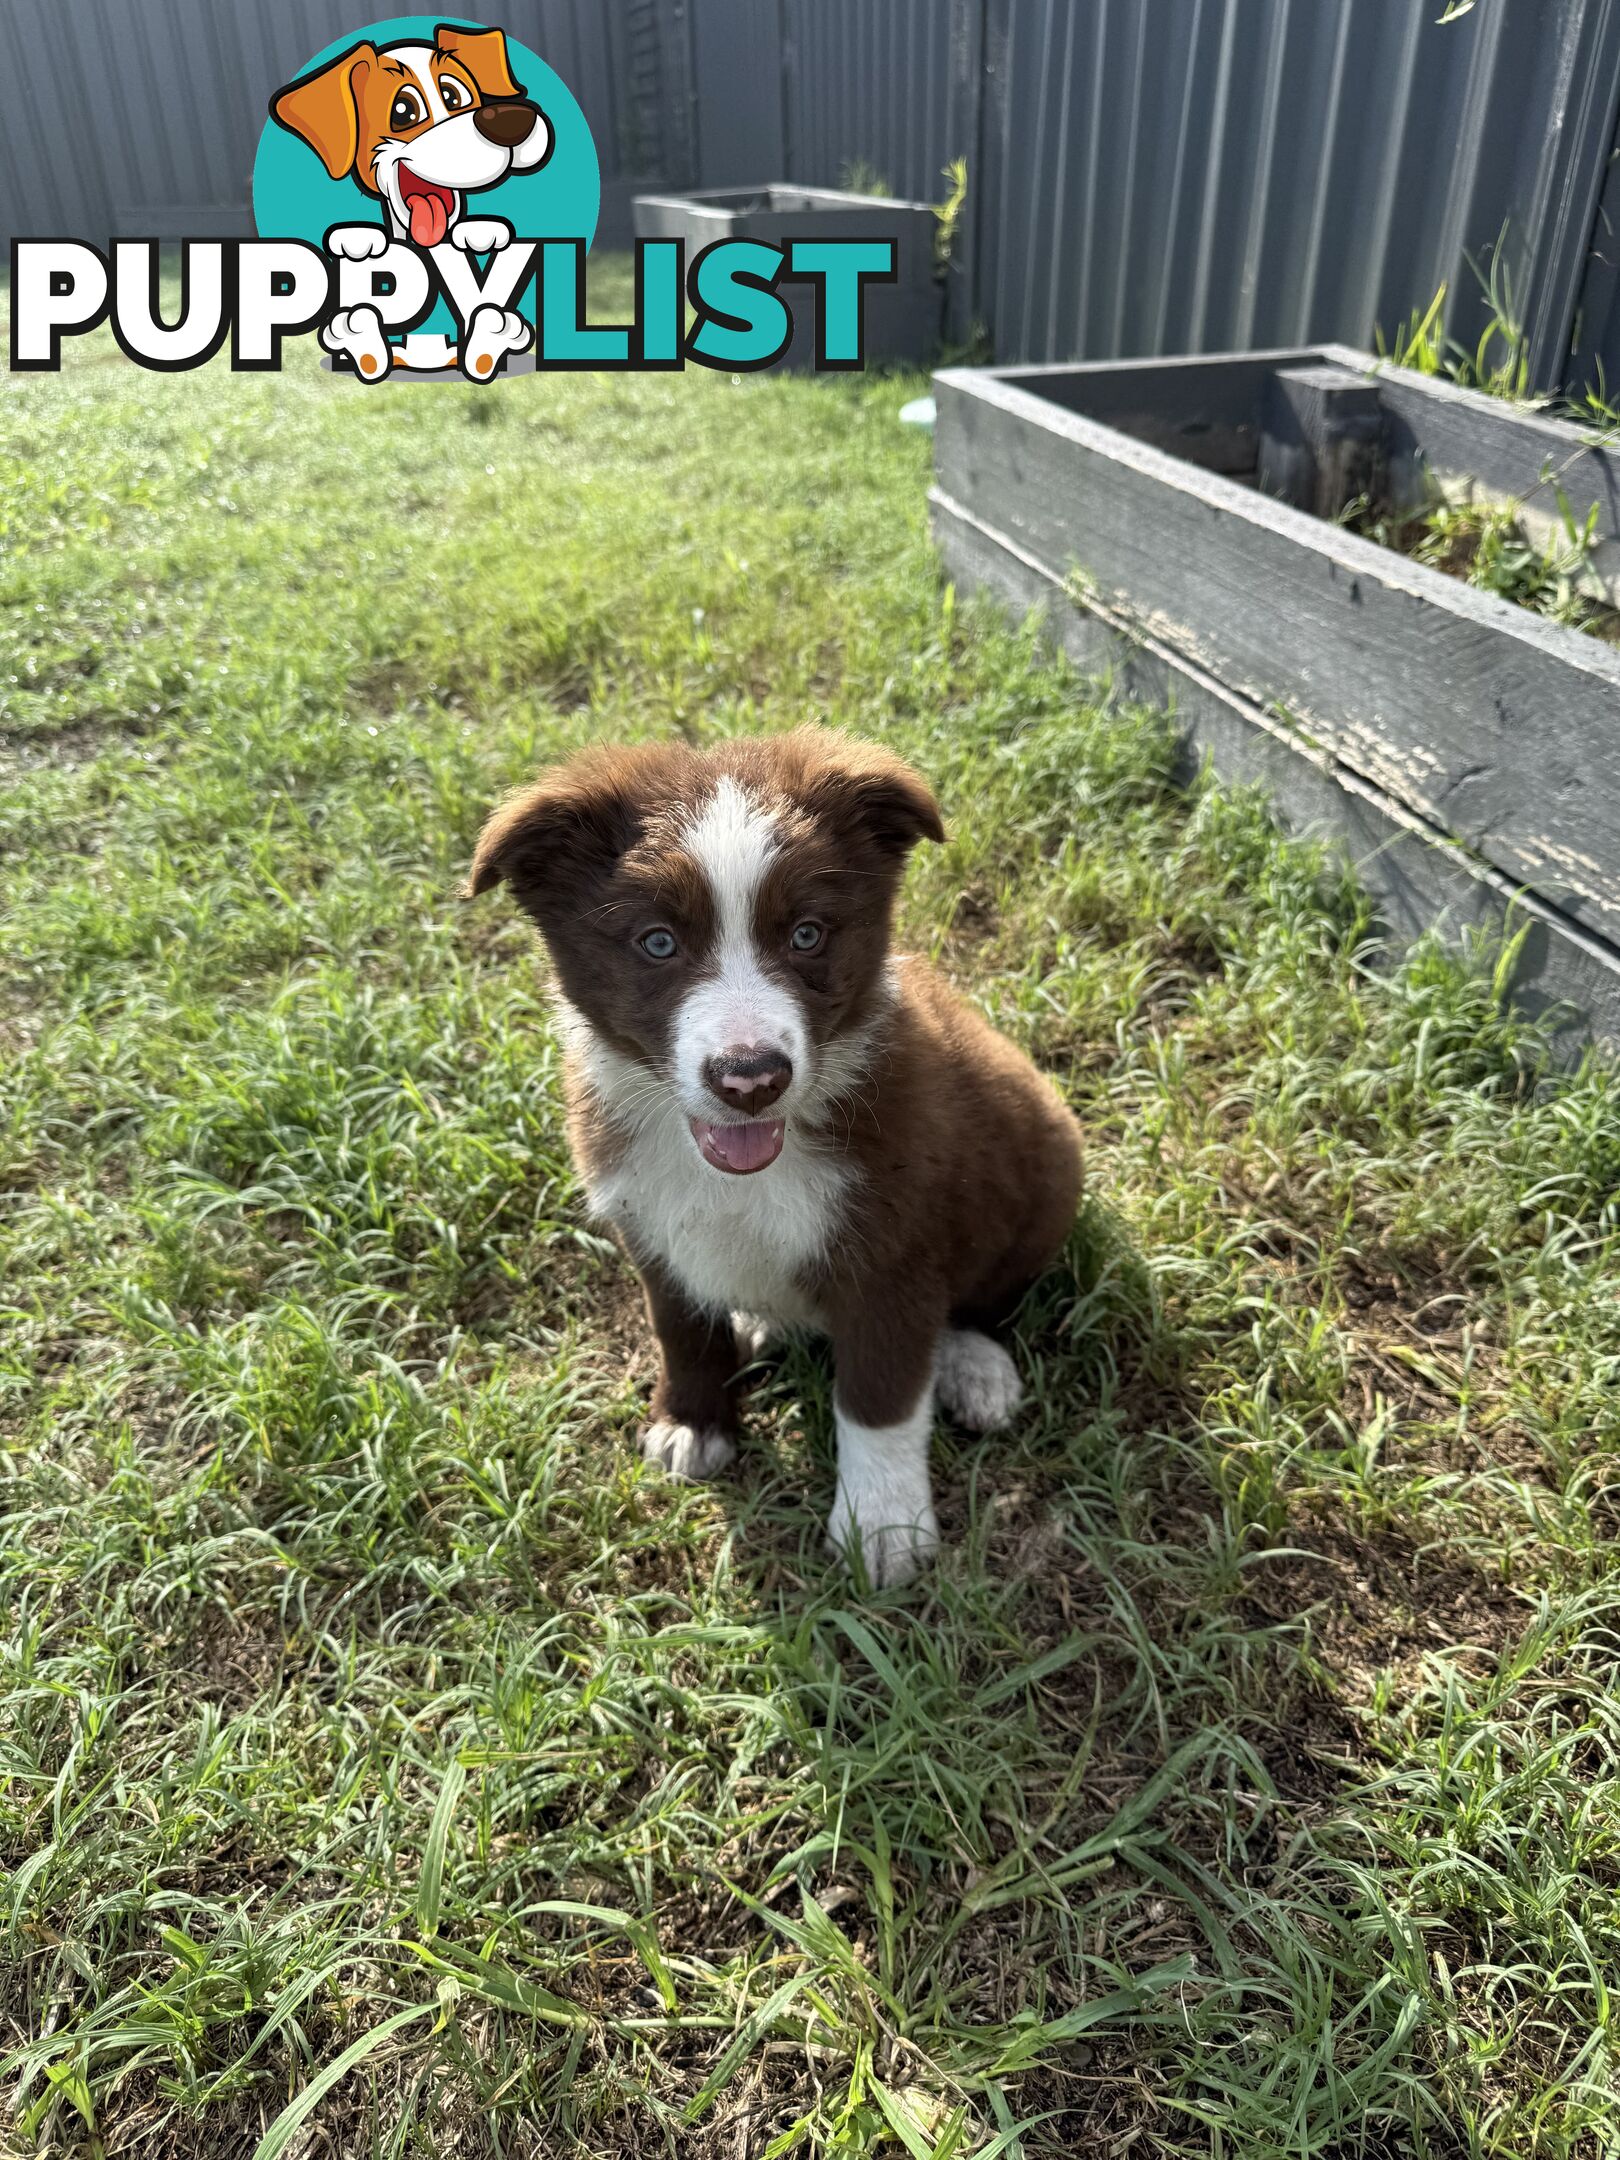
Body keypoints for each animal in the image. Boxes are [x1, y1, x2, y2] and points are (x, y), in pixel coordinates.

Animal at [468, 730, 1080, 1589]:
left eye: (808, 935)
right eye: (657, 943)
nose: (751, 1078)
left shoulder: (892, 1255)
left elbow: (881, 1401)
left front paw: (882, 1528)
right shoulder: (649, 1224)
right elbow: (679, 1330)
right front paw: (693, 1421)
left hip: (1046, 1167)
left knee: (984, 1299)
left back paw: (973, 1366)